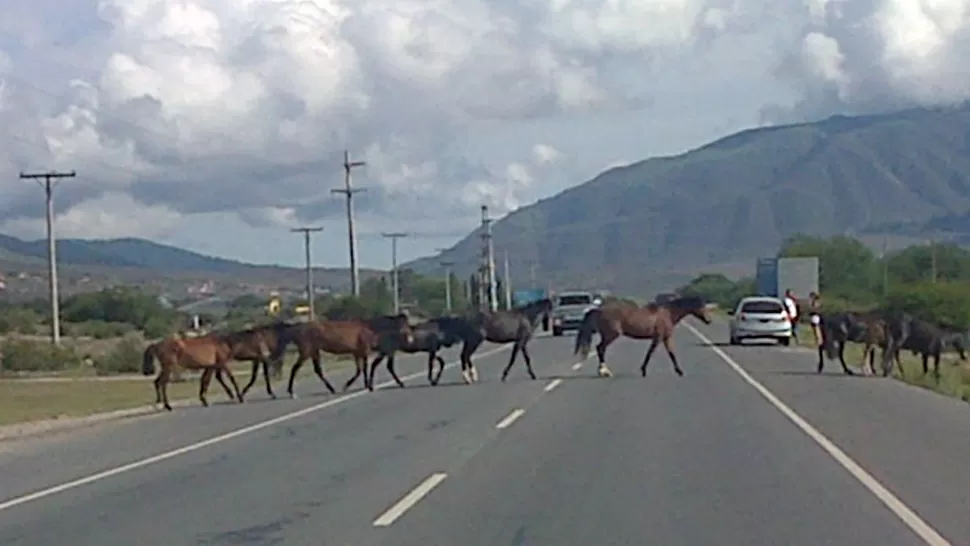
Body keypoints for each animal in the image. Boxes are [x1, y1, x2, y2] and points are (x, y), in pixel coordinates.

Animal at [272, 312, 412, 398]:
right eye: (404, 324)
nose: (410, 338)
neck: (369, 328)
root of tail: (296, 328)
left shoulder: (357, 353)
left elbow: (360, 370)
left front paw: (355, 385)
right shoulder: (363, 351)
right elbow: (363, 369)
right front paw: (363, 386)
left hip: (314, 351)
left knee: (318, 370)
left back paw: (331, 389)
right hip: (306, 351)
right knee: (295, 368)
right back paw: (292, 392)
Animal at [572, 294, 716, 378]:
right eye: (701, 307)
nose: (709, 321)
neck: (668, 313)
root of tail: (598, 309)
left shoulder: (666, 338)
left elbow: (671, 353)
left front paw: (679, 371)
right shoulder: (658, 338)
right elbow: (650, 353)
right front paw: (643, 370)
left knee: (600, 349)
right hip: (611, 335)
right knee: (600, 348)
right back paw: (604, 372)